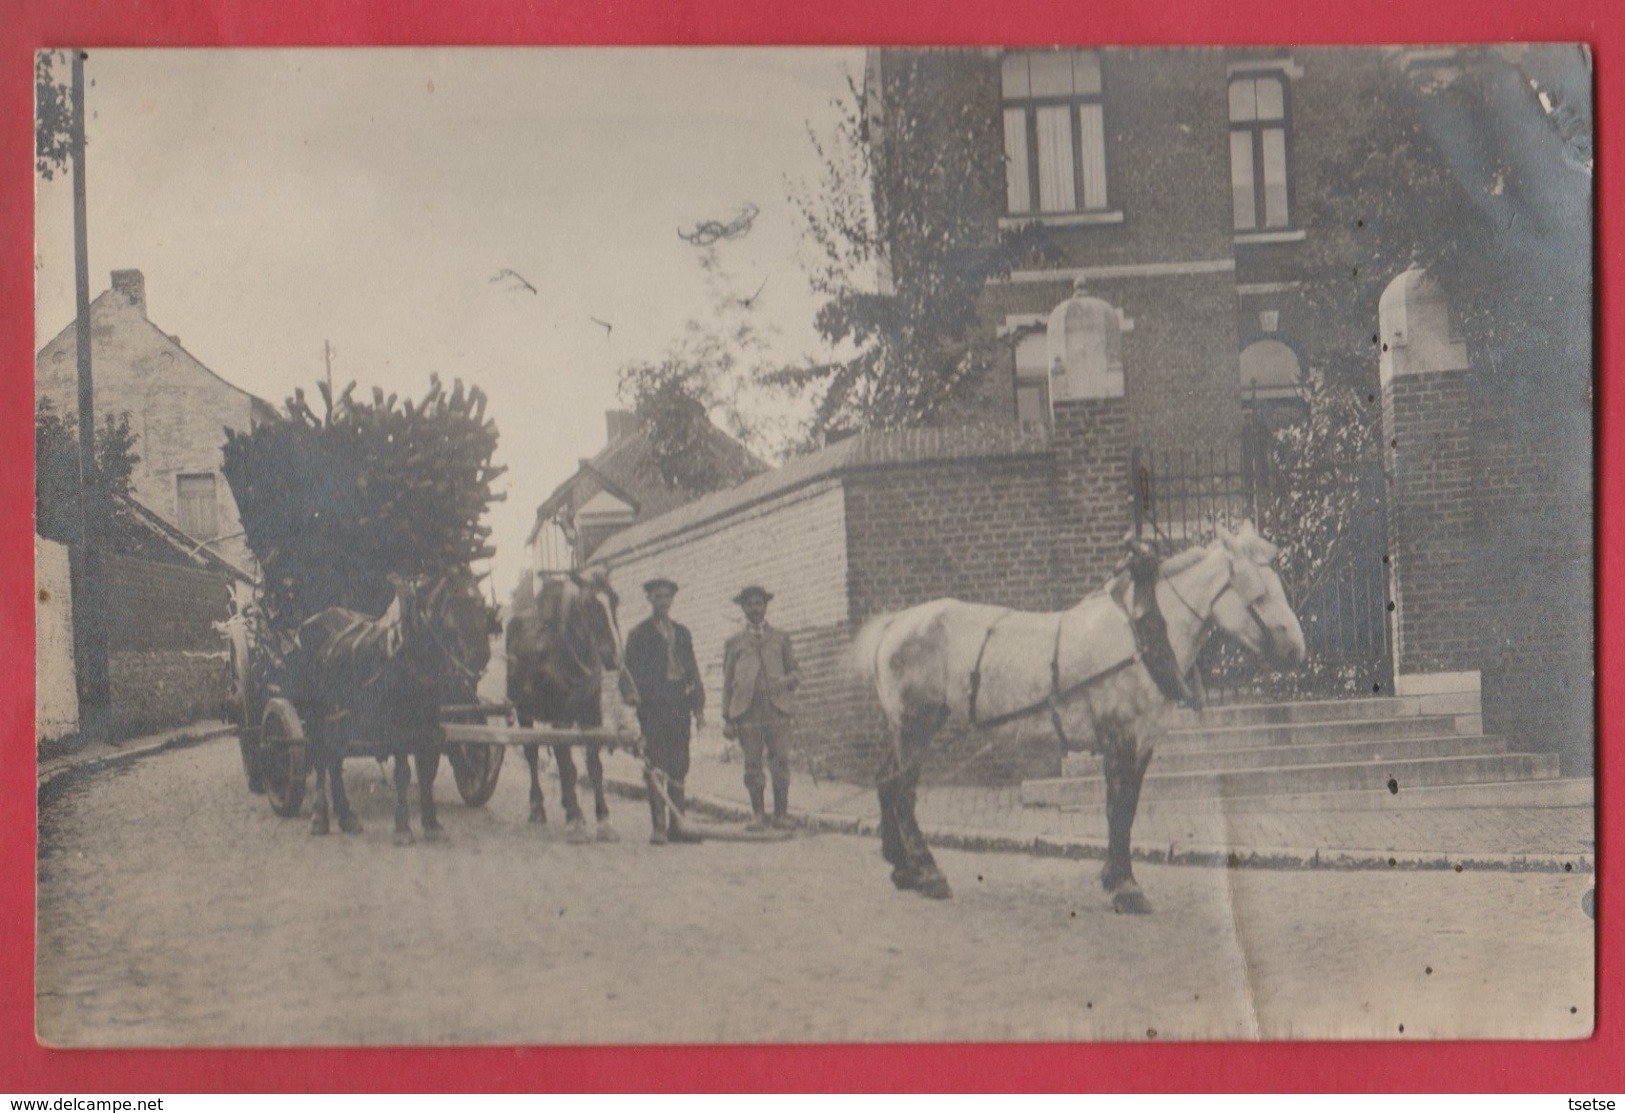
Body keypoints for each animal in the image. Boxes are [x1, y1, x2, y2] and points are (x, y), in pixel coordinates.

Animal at [295, 571, 490, 844]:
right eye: (454, 603)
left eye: (482, 605)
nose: (481, 655)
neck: (411, 654)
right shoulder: (398, 725)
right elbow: (403, 773)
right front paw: (403, 828)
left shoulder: (429, 721)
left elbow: (426, 770)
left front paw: (432, 824)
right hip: (318, 713)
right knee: (322, 754)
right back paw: (319, 817)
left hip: (344, 716)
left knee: (335, 756)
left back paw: (347, 815)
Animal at [503, 568, 637, 838]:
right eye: (588, 605)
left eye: (614, 600)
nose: (615, 657)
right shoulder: (560, 717)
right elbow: (568, 767)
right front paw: (576, 818)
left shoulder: (592, 714)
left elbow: (594, 766)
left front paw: (603, 819)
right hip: (524, 712)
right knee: (532, 755)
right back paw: (538, 808)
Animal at [851, 519, 1306, 909]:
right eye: (1259, 595)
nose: (1297, 650)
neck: (1141, 637)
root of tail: (894, 623)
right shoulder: (1119, 737)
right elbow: (1117, 808)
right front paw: (1126, 887)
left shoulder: (1144, 741)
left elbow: (1128, 808)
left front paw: (1113, 876)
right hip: (916, 724)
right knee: (904, 791)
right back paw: (927, 873)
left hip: (908, 726)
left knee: (887, 780)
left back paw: (901, 868)